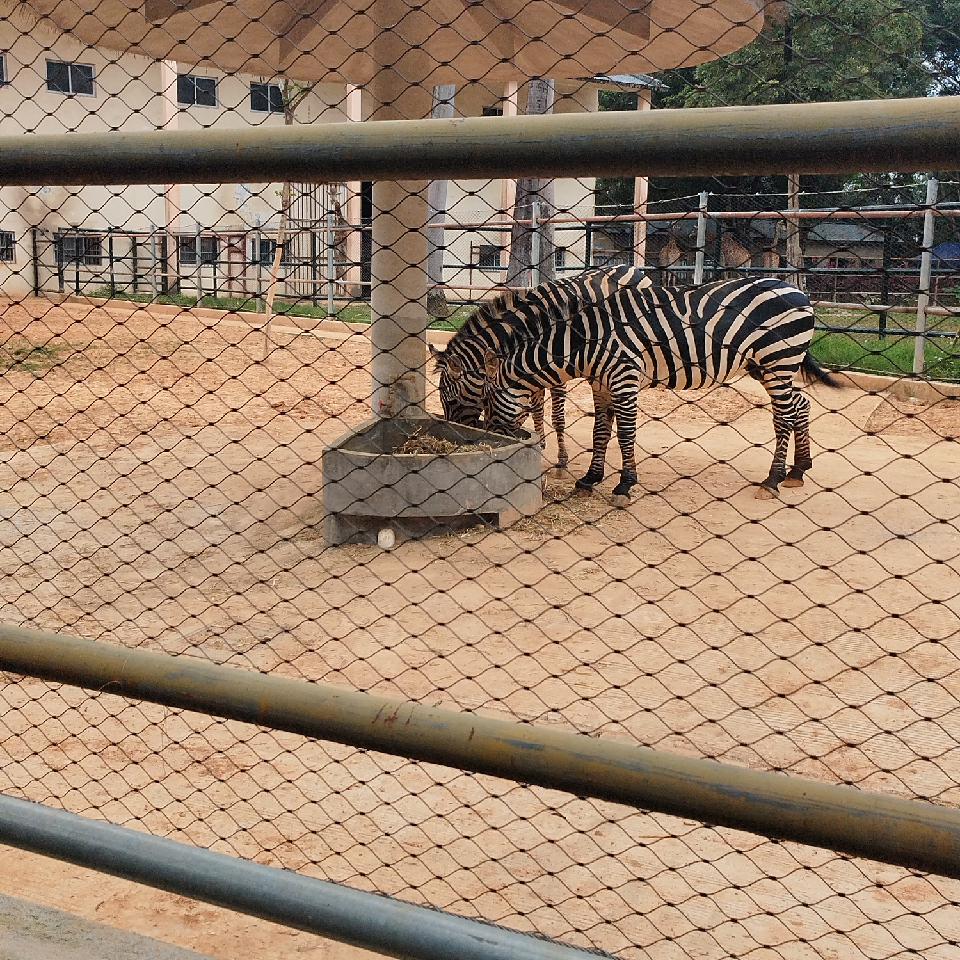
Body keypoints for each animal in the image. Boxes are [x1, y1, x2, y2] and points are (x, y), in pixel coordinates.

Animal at [432, 266, 836, 498]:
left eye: (457, 398)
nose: (484, 441)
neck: (580, 339)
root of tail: (796, 290)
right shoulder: (600, 383)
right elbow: (600, 431)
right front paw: (589, 479)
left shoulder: (623, 378)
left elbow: (624, 433)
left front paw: (625, 484)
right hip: (766, 365)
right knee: (800, 405)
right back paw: (798, 470)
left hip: (778, 361)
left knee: (784, 415)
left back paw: (773, 479)